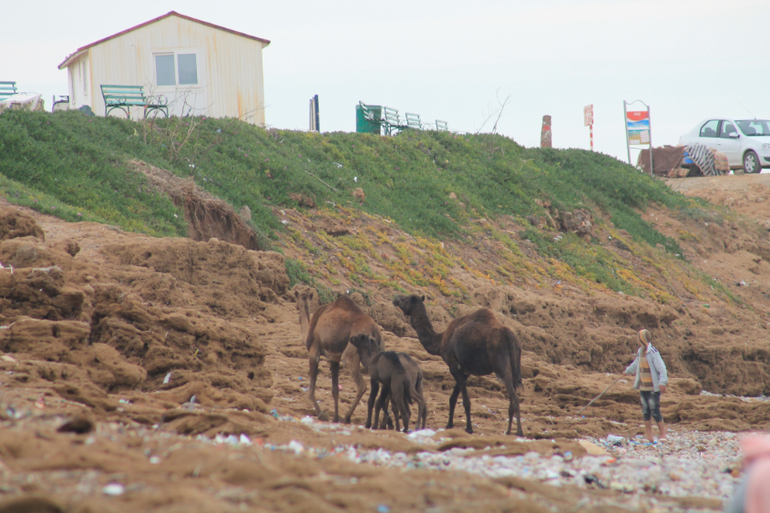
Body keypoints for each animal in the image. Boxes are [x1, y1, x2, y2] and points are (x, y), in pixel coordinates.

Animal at [296, 290, 383, 423]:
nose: (296, 307)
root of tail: (375, 330)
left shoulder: (314, 350)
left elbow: (311, 391)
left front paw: (321, 413)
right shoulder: (334, 359)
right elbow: (335, 390)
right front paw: (335, 418)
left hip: (351, 352)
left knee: (362, 386)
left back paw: (347, 417)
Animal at [392, 294, 523, 436]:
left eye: (405, 299)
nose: (395, 298)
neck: (440, 340)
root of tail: (509, 336)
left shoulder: (453, 366)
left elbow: (465, 401)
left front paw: (469, 428)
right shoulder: (464, 371)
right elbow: (453, 398)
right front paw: (449, 424)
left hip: (501, 364)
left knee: (514, 397)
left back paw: (519, 432)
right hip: (514, 364)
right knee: (512, 395)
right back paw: (509, 431)